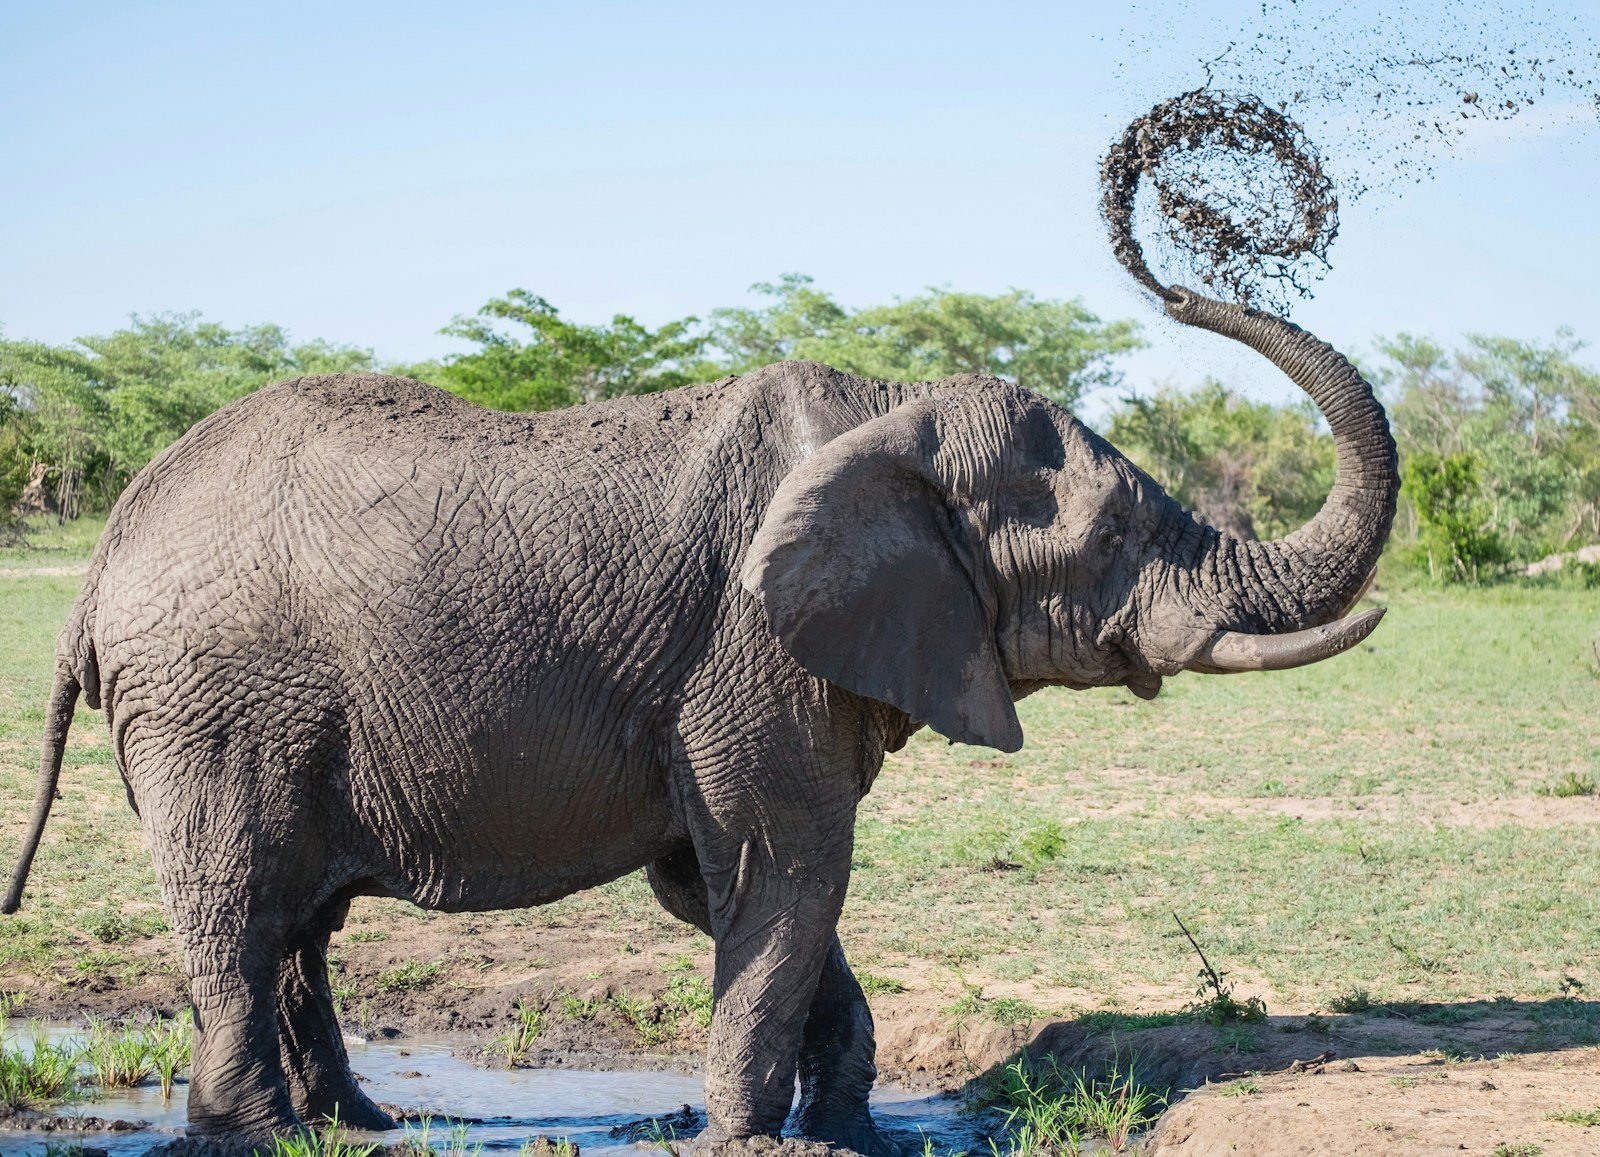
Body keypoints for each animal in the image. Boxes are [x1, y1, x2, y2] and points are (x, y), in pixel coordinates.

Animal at [2, 285, 1395, 1153]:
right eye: (1108, 539)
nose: (1169, 276)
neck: (888, 411)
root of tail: (103, 557)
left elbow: (730, 883)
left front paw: (844, 1128)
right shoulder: (746, 646)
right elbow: (789, 863)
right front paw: (754, 1137)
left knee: (298, 919)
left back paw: (357, 1122)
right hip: (214, 704)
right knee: (239, 903)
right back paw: (261, 1133)